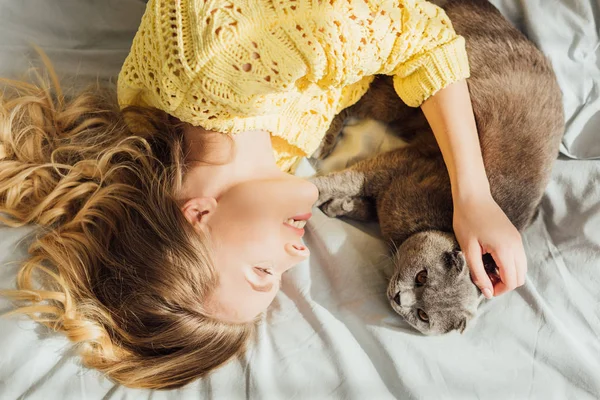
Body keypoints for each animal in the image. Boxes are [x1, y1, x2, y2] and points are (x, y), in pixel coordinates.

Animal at [312, 0, 564, 336]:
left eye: (422, 316)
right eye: (422, 277)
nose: (400, 299)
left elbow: (363, 204)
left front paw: (341, 207)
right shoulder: (399, 162)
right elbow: (346, 180)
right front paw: (317, 194)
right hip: (402, 96)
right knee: (353, 98)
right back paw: (323, 142)